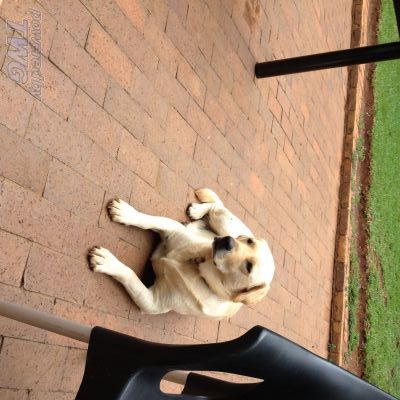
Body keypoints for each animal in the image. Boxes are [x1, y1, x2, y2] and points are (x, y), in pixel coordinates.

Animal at [89, 188, 275, 319]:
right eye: (249, 241)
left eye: (248, 267)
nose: (228, 241)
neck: (198, 264)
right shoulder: (173, 227)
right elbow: (147, 220)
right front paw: (126, 213)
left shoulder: (152, 302)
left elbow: (129, 274)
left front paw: (107, 261)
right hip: (224, 223)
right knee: (217, 206)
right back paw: (198, 211)